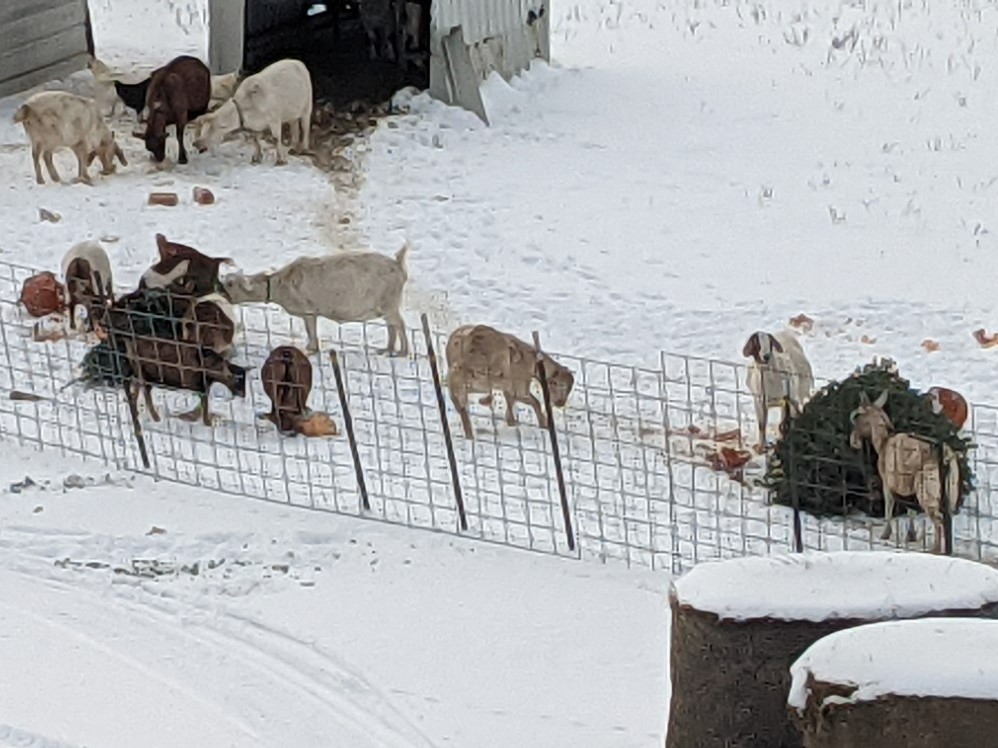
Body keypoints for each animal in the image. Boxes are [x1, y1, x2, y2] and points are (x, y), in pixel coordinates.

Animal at [221, 245, 409, 356]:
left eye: (230, 283)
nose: (219, 291)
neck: (278, 283)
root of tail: (399, 266)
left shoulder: (308, 311)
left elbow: (310, 330)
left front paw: (311, 349)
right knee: (391, 326)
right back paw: (387, 349)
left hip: (390, 302)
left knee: (399, 324)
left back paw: (403, 352)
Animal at [445, 324, 575, 439]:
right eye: (561, 385)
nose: (561, 403)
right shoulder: (520, 388)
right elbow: (535, 402)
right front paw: (544, 424)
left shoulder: (509, 388)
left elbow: (511, 402)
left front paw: (511, 421)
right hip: (475, 373)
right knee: (458, 386)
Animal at [849, 390, 961, 554]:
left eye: (857, 417)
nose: (854, 441)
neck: (883, 442)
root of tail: (946, 458)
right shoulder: (907, 487)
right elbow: (910, 510)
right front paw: (911, 535)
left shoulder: (888, 483)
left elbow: (889, 507)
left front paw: (885, 534)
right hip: (951, 492)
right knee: (947, 518)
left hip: (927, 491)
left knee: (938, 519)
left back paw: (935, 549)